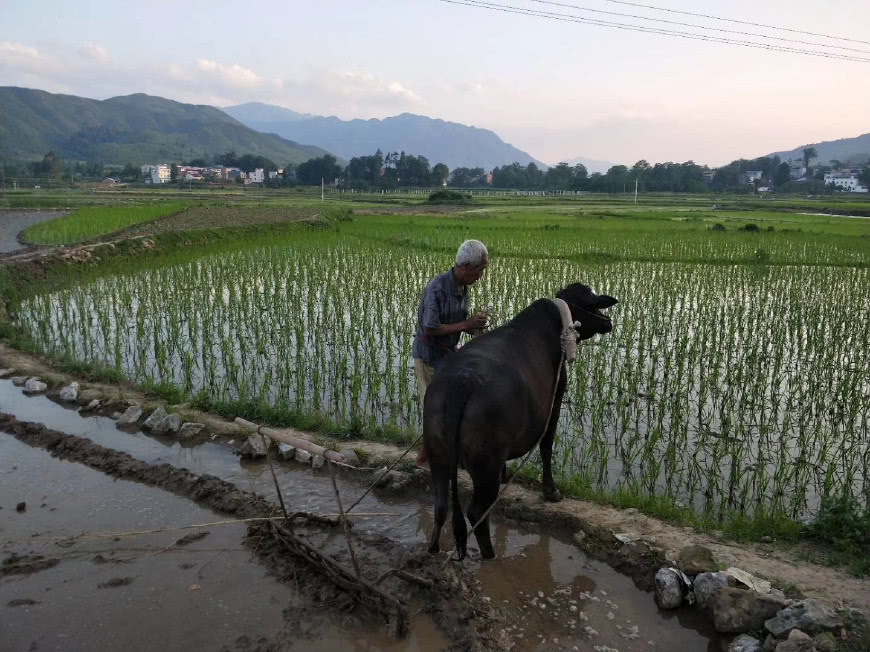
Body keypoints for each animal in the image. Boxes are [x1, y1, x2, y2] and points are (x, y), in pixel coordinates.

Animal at [424, 282, 616, 560]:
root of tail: (462, 381)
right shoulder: (555, 402)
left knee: (440, 505)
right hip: (484, 466)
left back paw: (433, 548)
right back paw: (490, 556)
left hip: (438, 456)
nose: (608, 322)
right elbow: (546, 447)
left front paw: (507, 475)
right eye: (592, 300)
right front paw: (551, 491)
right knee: (476, 512)